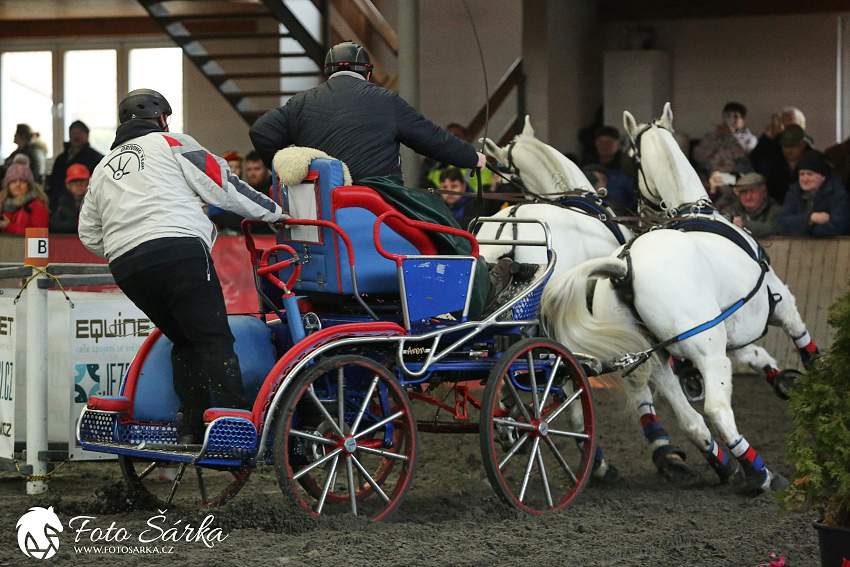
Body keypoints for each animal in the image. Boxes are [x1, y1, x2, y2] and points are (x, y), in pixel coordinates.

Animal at [540, 104, 820, 494]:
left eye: (630, 158)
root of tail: (625, 268)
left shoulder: (727, 329)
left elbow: (755, 354)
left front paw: (781, 379)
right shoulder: (778, 304)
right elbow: (802, 338)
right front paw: (817, 378)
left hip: (655, 357)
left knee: (689, 418)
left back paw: (721, 465)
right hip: (705, 348)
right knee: (716, 410)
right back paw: (759, 473)